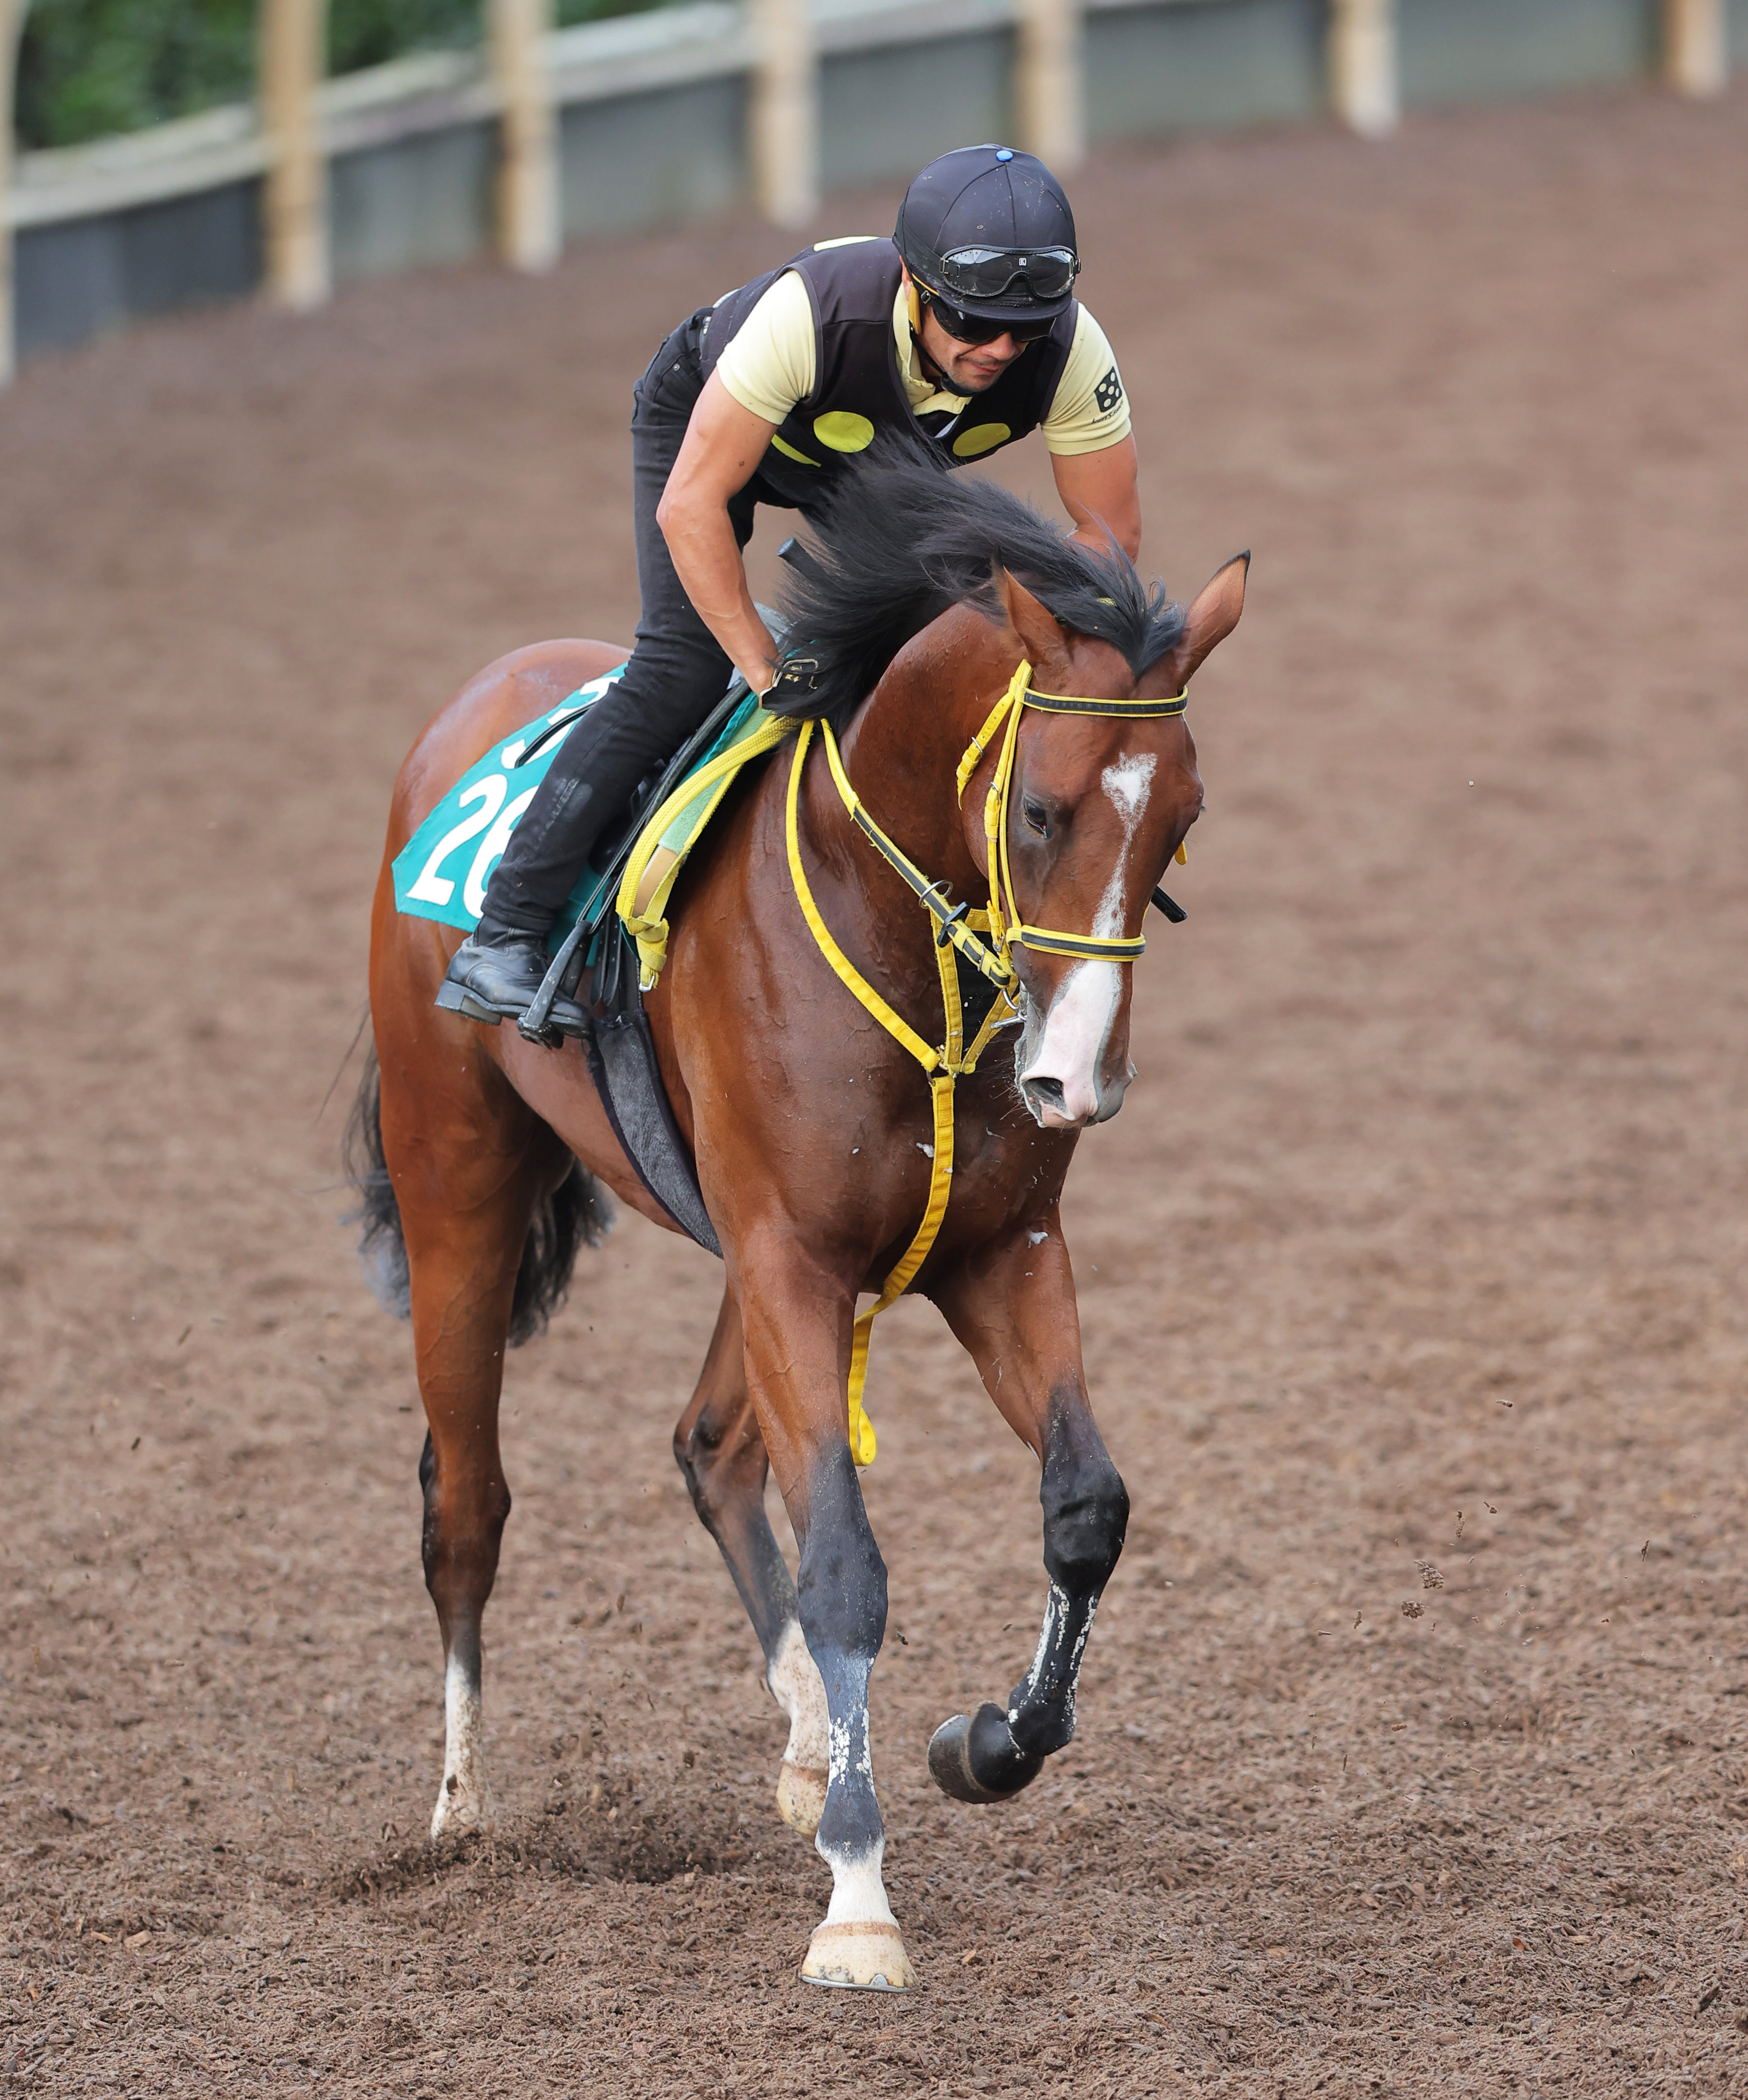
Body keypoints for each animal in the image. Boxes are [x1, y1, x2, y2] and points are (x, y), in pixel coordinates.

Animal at [350, 443, 1246, 1990]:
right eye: (1040, 810)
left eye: (1178, 823)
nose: (1076, 1077)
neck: (887, 916)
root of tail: (472, 704)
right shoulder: (794, 1260)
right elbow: (843, 1560)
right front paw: (858, 1897)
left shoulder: (992, 1252)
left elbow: (1084, 1506)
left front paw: (986, 1740)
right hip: (456, 1174)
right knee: (466, 1497)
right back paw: (460, 1807)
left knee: (708, 1444)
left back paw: (808, 1736)